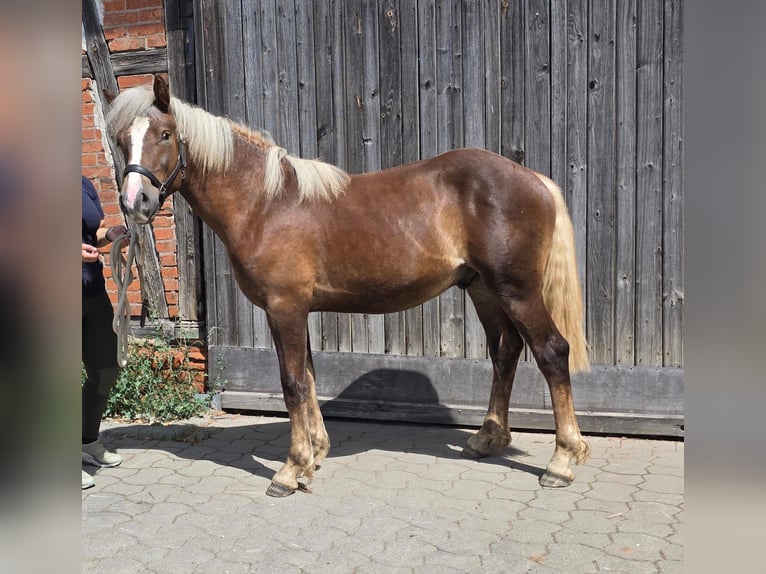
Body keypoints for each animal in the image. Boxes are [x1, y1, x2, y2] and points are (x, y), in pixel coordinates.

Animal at [107, 75, 591, 497]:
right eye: (121, 140)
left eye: (166, 134)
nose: (135, 203)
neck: (265, 203)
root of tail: (534, 180)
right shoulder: (296, 310)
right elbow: (308, 377)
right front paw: (315, 454)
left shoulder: (284, 308)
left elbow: (292, 383)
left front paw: (290, 470)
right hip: (484, 290)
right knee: (505, 353)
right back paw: (488, 437)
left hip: (517, 290)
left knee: (552, 352)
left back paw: (562, 460)